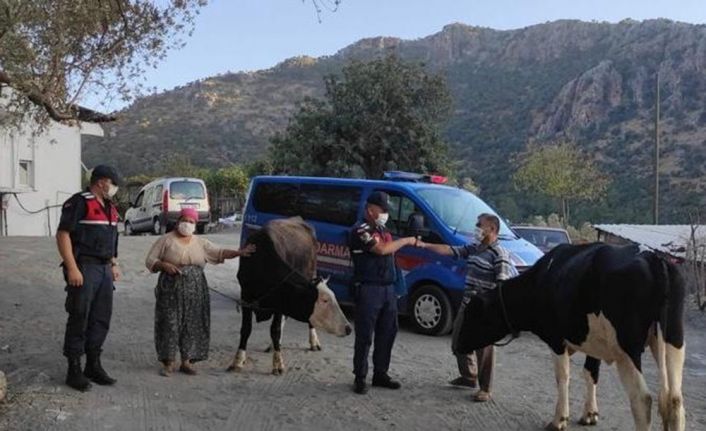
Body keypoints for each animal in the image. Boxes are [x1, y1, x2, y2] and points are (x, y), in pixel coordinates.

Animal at [228, 219, 350, 374]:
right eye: (324, 300)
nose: (348, 328)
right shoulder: (246, 296)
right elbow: (246, 329)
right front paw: (238, 360)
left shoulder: (280, 302)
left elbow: (275, 330)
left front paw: (278, 363)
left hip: (312, 271)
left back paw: (313, 341)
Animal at [456, 243, 680, 431]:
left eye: (471, 316)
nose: (457, 346)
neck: (540, 280)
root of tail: (652, 256)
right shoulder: (594, 342)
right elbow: (591, 373)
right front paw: (590, 414)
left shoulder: (556, 339)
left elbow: (562, 376)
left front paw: (559, 420)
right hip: (673, 341)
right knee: (675, 399)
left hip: (627, 350)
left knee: (642, 399)